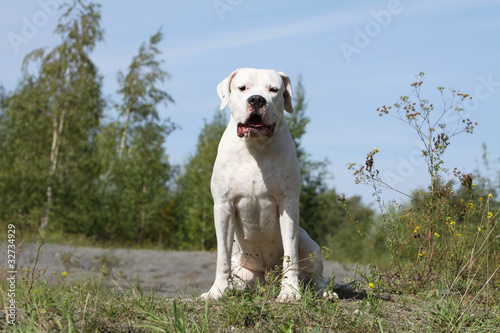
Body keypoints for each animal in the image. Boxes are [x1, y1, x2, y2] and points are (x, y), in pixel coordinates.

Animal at [199, 67, 328, 300]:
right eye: (242, 88)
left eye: (273, 90)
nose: (257, 99)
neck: (255, 148)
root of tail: (268, 276)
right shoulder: (223, 206)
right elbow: (222, 256)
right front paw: (216, 292)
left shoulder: (288, 204)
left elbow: (290, 253)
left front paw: (290, 292)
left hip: (309, 244)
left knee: (317, 277)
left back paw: (325, 293)